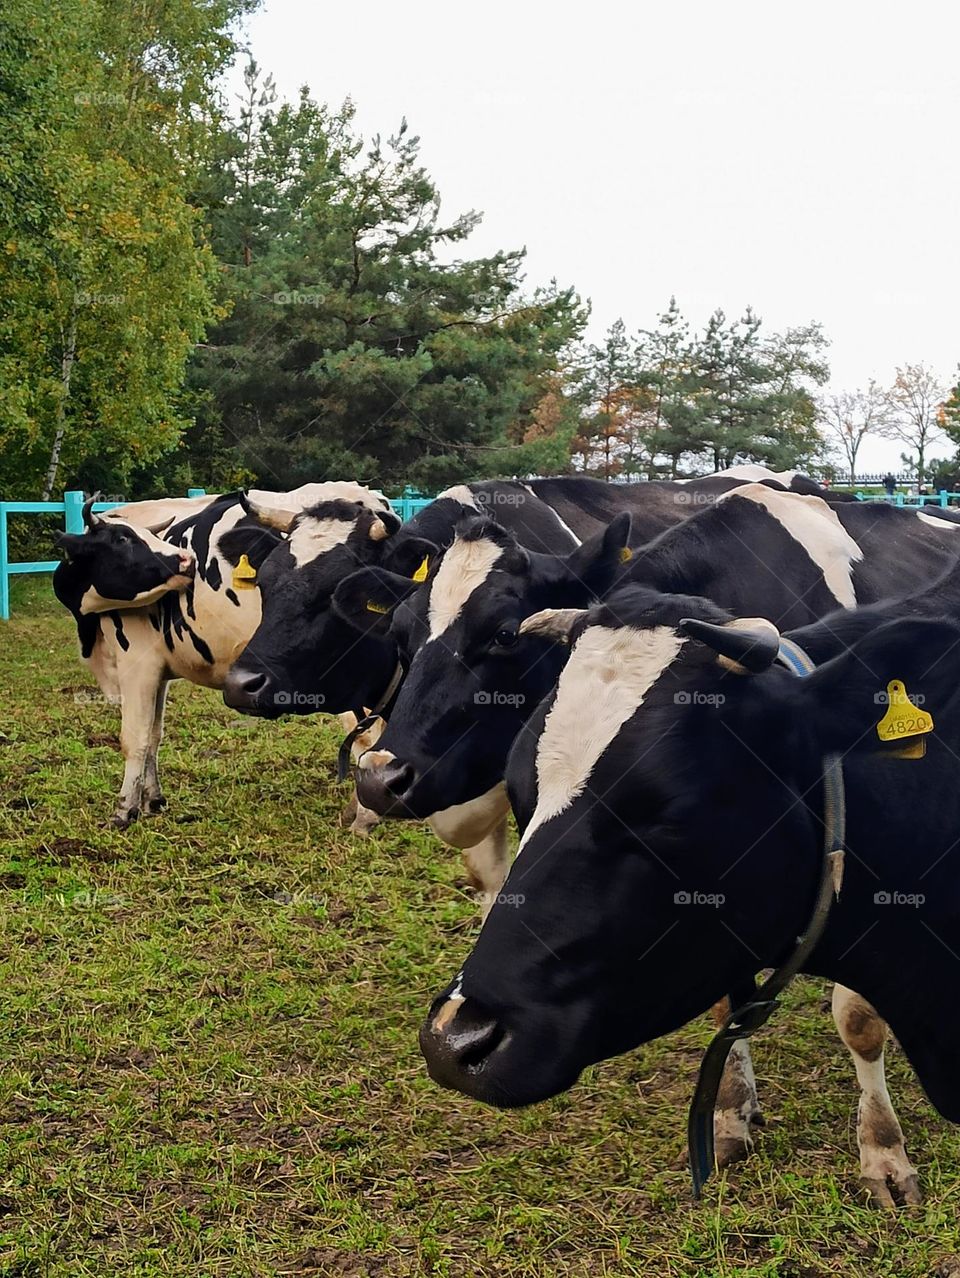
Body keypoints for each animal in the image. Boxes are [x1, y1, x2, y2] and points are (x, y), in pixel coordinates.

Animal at [54, 483, 386, 826]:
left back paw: (365, 814)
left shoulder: (137, 662)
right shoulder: (160, 670)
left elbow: (135, 739)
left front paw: (124, 810)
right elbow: (155, 735)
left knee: (368, 736)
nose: (187, 561)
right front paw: (152, 799)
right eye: (122, 539)